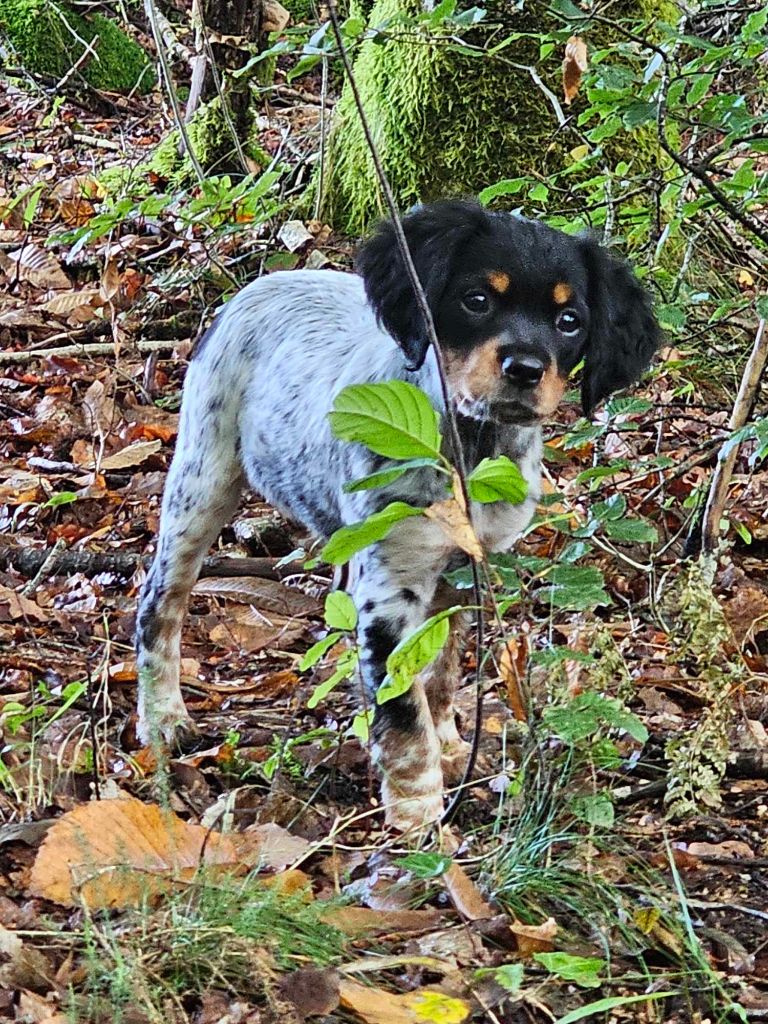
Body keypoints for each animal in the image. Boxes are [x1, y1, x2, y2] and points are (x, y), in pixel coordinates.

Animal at [134, 197, 663, 831]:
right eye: (476, 300)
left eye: (569, 320)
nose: (525, 368)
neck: (466, 447)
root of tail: (257, 285)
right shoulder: (392, 586)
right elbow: (405, 709)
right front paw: (420, 820)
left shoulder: (465, 572)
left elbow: (440, 671)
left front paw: (452, 746)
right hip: (202, 478)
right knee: (160, 602)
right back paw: (162, 718)